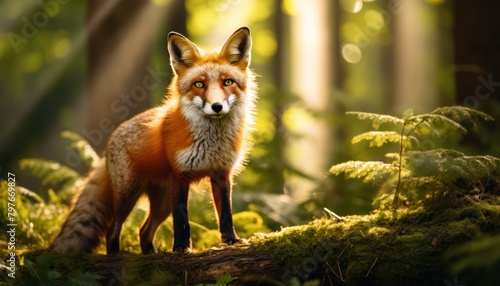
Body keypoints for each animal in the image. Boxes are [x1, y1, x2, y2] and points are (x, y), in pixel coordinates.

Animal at [50, 27, 256, 255]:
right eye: (199, 84)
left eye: (227, 82)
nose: (217, 106)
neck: (212, 143)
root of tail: (111, 140)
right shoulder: (179, 176)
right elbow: (181, 221)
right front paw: (181, 247)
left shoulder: (221, 173)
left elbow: (226, 213)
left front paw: (231, 240)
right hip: (128, 195)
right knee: (113, 227)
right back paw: (116, 255)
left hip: (161, 203)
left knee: (143, 231)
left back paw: (149, 254)